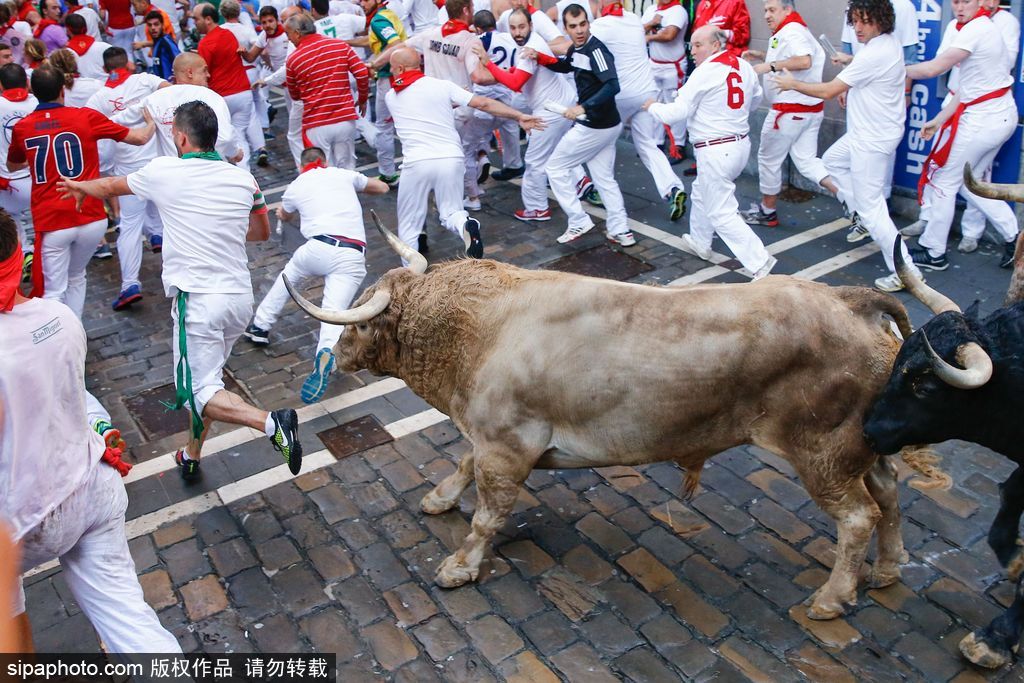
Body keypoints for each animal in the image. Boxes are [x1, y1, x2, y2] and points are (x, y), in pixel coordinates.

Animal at [284, 216, 946, 622]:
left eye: (362, 318)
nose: (335, 353)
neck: (480, 324)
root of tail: (848, 300)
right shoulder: (492, 434)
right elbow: (462, 461)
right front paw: (439, 497)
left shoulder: (506, 445)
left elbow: (487, 512)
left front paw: (461, 565)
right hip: (863, 445)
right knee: (889, 495)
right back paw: (888, 570)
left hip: (822, 454)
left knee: (858, 516)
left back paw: (833, 597)